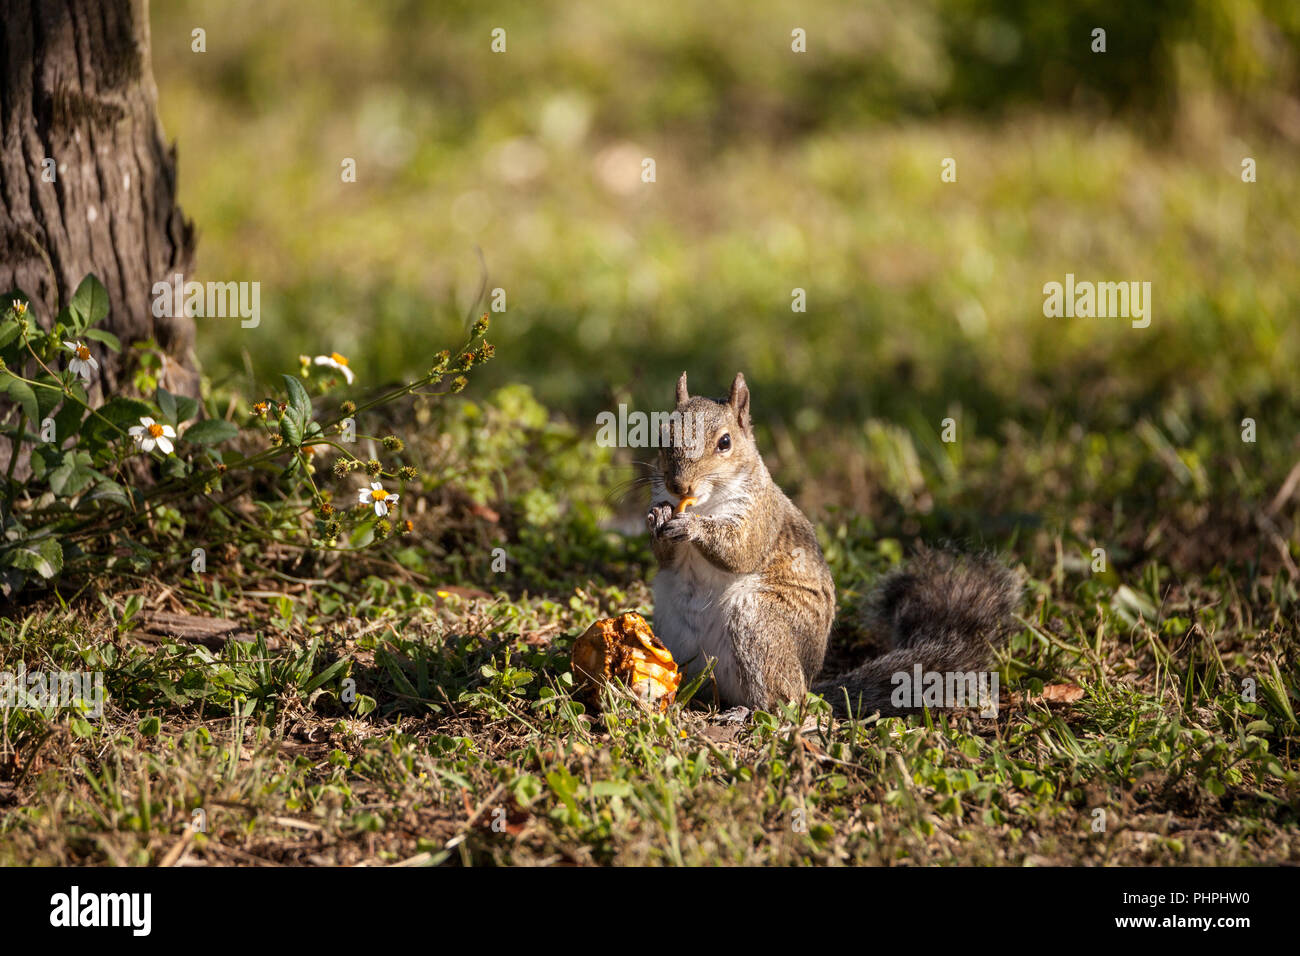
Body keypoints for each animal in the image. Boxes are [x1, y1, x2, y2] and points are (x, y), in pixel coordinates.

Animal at [647, 371, 1020, 715]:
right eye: (662, 434)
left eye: (725, 442)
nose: (679, 487)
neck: (706, 502)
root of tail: (810, 684)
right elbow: (665, 558)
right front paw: (658, 515)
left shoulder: (760, 514)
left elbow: (741, 550)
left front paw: (693, 527)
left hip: (760, 622)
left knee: (782, 700)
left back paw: (745, 712)